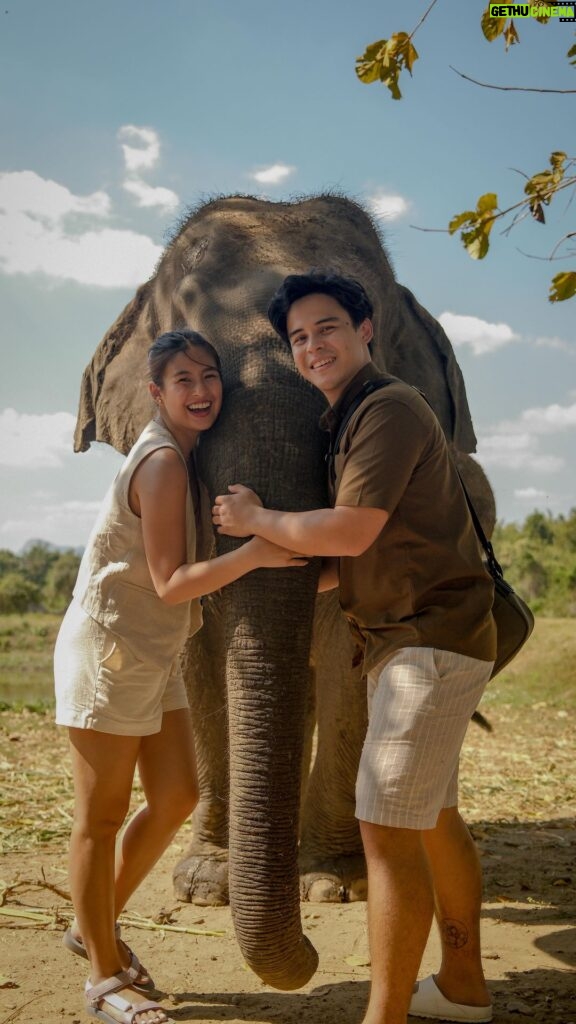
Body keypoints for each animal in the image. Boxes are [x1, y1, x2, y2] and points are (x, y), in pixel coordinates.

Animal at [72, 193, 494, 991]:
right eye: (189, 320)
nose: (316, 960)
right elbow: (199, 651)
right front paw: (206, 886)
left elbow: (345, 656)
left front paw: (333, 885)